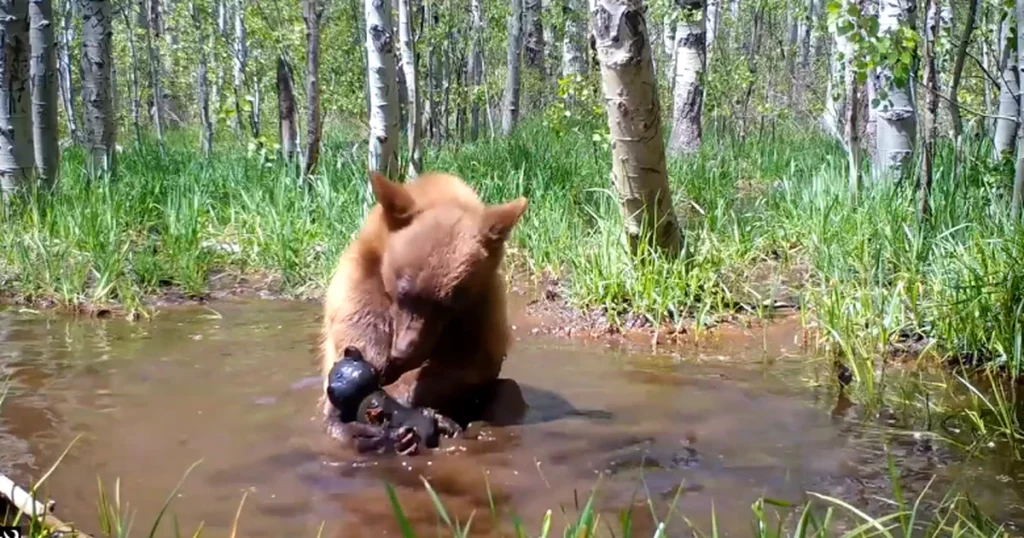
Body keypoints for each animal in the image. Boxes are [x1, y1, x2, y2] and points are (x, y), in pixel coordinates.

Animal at [319, 171, 528, 444]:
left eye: (447, 305)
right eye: (403, 291)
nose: (403, 352)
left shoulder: (482, 307)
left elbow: (469, 362)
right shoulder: (360, 284)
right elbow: (358, 337)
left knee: (509, 392)